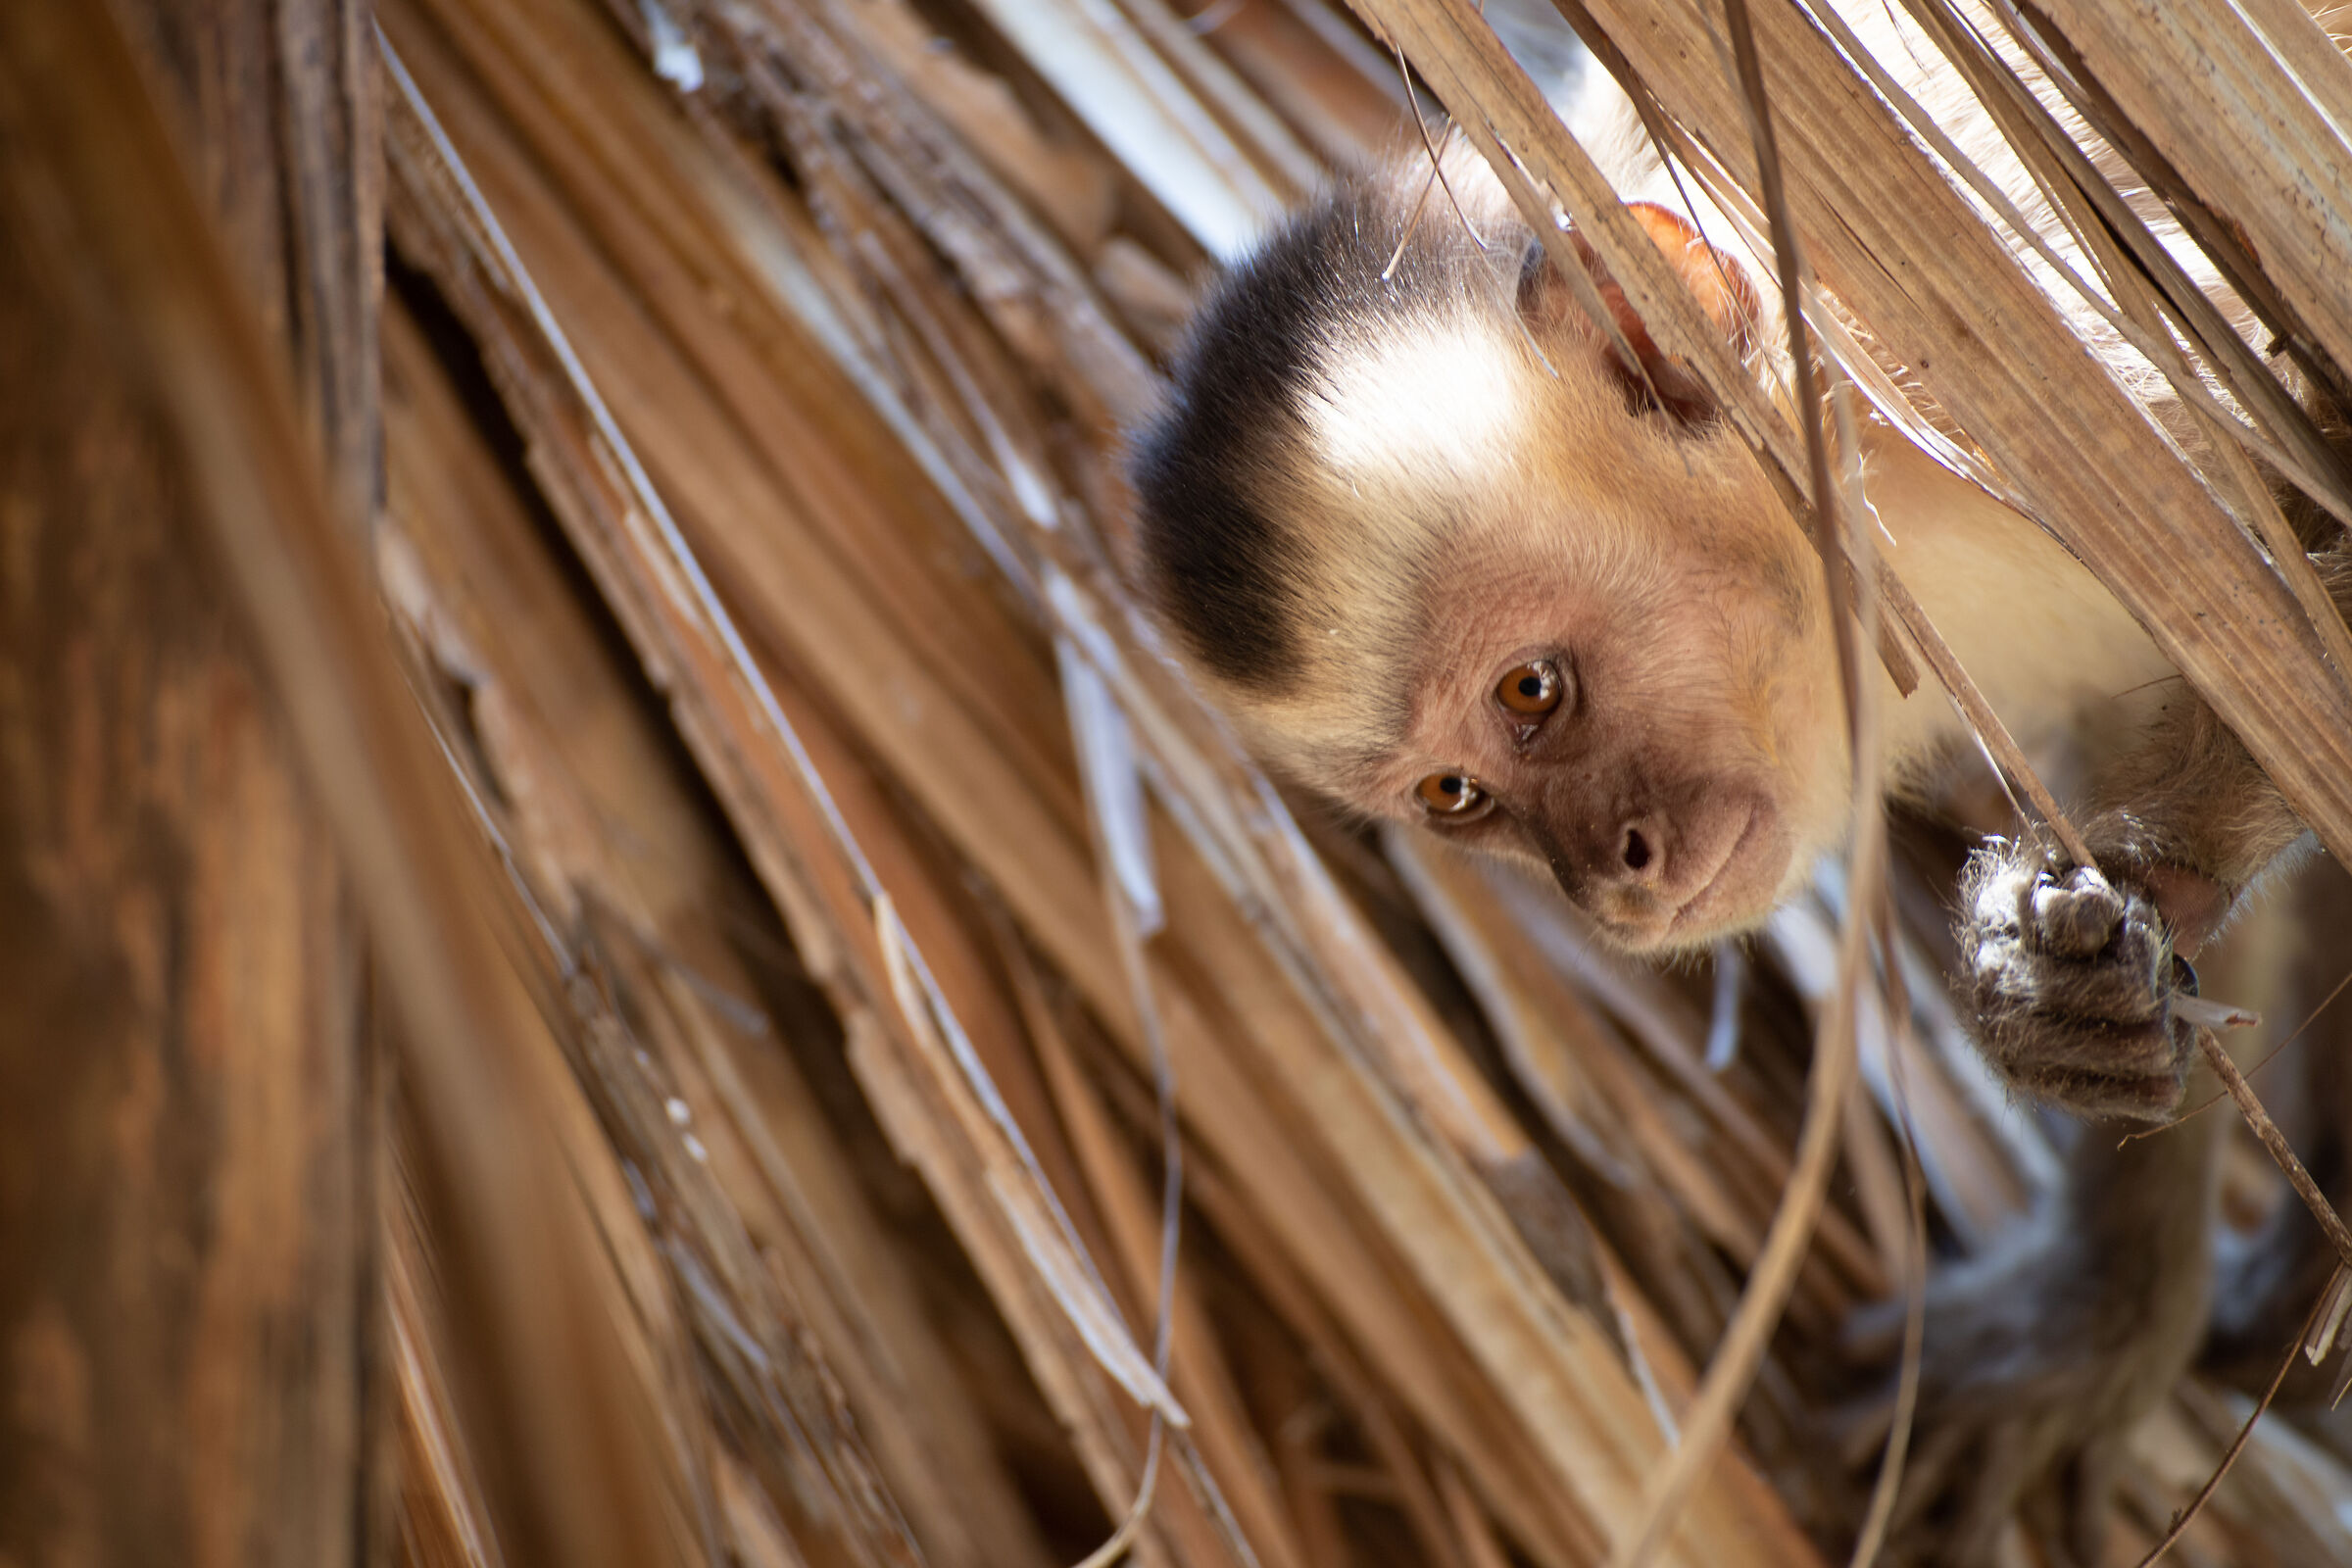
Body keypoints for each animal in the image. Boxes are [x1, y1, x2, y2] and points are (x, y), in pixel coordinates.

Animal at [1122, 8, 2352, 1564]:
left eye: (1534, 692)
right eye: (1456, 798)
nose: (1610, 876)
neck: (1872, 476)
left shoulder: (2070, 366)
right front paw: (2100, 1275)